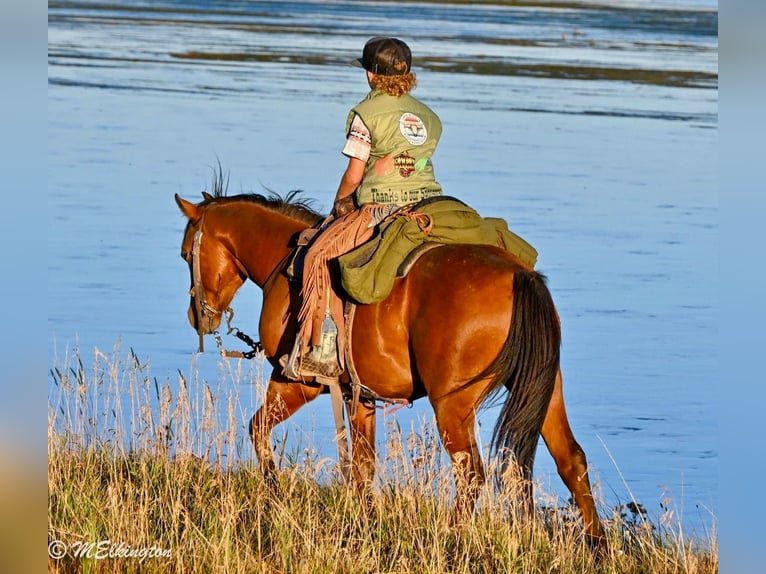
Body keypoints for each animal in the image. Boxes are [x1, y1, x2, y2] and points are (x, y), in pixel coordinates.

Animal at [175, 187, 605, 545]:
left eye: (184, 254)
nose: (197, 316)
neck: (286, 264)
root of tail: (521, 275)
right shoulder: (359, 394)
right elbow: (364, 465)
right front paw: (365, 522)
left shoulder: (298, 381)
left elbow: (258, 427)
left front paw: (274, 491)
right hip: (542, 389)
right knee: (571, 460)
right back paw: (597, 546)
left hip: (453, 405)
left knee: (471, 474)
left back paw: (451, 538)